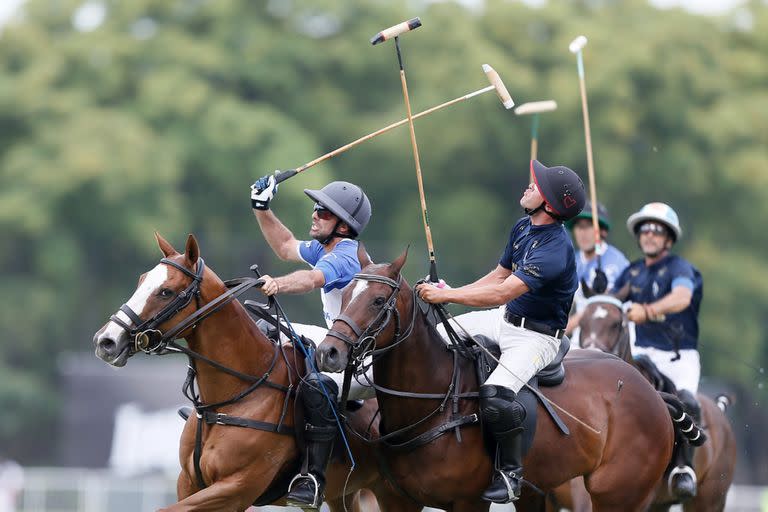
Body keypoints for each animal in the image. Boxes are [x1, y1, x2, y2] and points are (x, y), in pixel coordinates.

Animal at [95, 235, 420, 512]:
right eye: (141, 281)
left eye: (166, 292)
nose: (106, 341)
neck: (236, 395)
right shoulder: (189, 482)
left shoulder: (236, 489)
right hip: (345, 492)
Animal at [316, 252, 676, 512]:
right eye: (344, 294)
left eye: (378, 301)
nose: (328, 352)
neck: (433, 401)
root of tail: (654, 394)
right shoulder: (397, 499)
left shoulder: (469, 501)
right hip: (539, 492)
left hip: (618, 493)